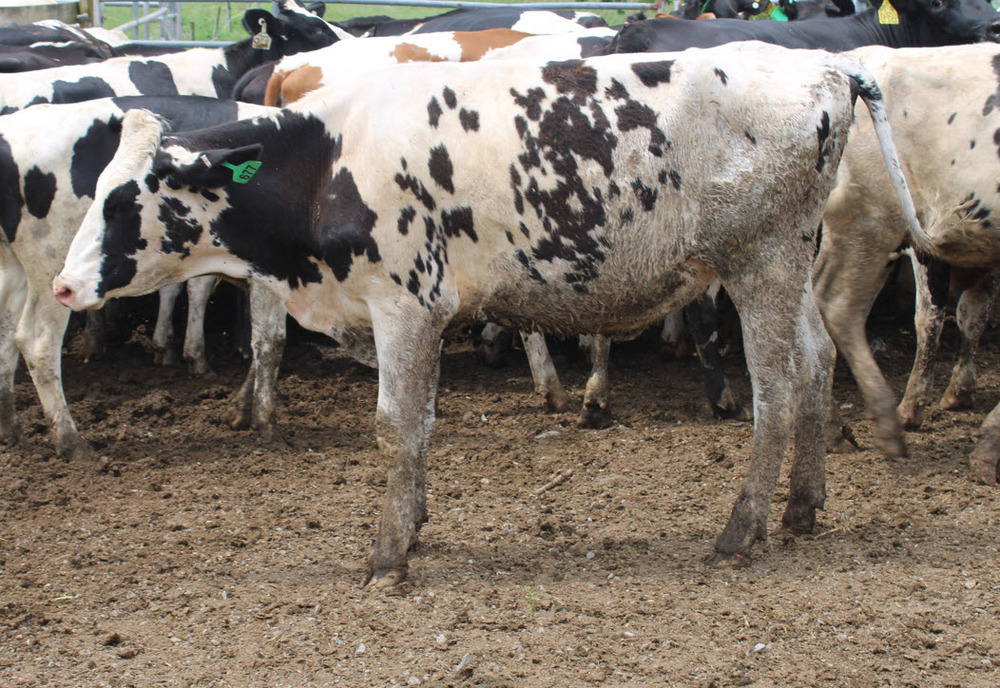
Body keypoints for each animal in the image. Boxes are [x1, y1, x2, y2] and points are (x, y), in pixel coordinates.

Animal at [0, 95, 286, 462]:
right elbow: (270, 341)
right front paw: (264, 423)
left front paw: (240, 407)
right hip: (52, 267)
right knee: (38, 344)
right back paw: (70, 440)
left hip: (14, 270)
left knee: (6, 334)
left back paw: (10, 428)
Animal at [53, 43, 923, 585]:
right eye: (93, 190)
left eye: (125, 201)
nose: (63, 286)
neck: (330, 161)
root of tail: (825, 65)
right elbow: (423, 425)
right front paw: (414, 523)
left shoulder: (404, 304)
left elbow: (395, 426)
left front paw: (388, 555)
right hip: (787, 266)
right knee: (816, 363)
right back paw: (804, 505)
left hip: (759, 263)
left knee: (775, 391)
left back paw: (741, 533)